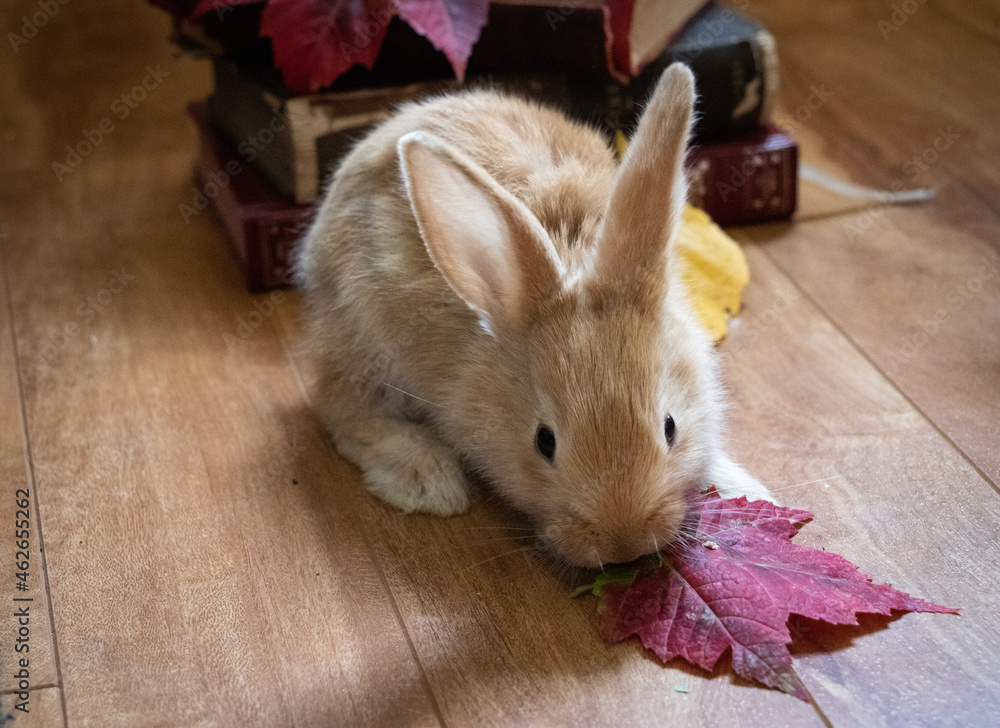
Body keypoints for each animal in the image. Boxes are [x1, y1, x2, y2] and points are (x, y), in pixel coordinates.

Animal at [295, 64, 771, 568]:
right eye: (545, 442)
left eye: (670, 427)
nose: (623, 546)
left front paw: (749, 492)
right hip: (364, 340)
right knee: (340, 408)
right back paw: (428, 479)